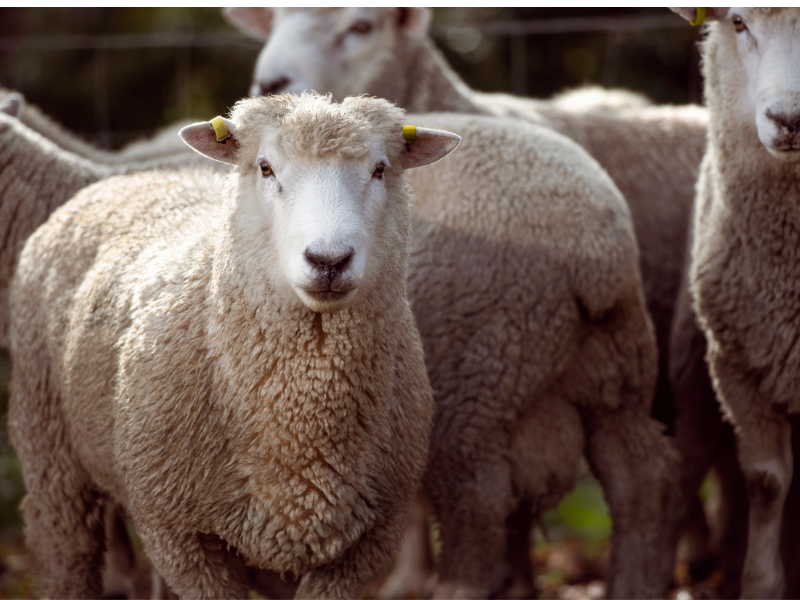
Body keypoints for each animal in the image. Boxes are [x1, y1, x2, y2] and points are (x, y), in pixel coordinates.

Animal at [7, 94, 456, 600]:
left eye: (380, 169)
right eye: (265, 168)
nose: (328, 260)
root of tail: (132, 176)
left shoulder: (368, 542)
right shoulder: (180, 535)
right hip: (50, 448)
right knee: (66, 546)